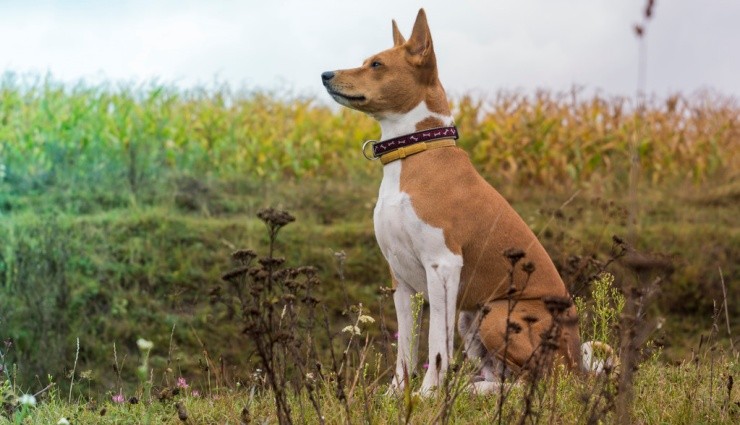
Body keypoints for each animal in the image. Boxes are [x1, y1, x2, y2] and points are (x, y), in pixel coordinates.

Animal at [320, 8, 588, 392]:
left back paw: (478, 391)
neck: (413, 153)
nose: (325, 74)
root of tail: (578, 361)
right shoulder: (400, 279)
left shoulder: (442, 266)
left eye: (376, 64)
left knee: (537, 381)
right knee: (503, 372)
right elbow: (406, 348)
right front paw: (396, 393)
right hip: (470, 317)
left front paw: (428, 394)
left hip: (498, 315)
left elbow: (436, 346)